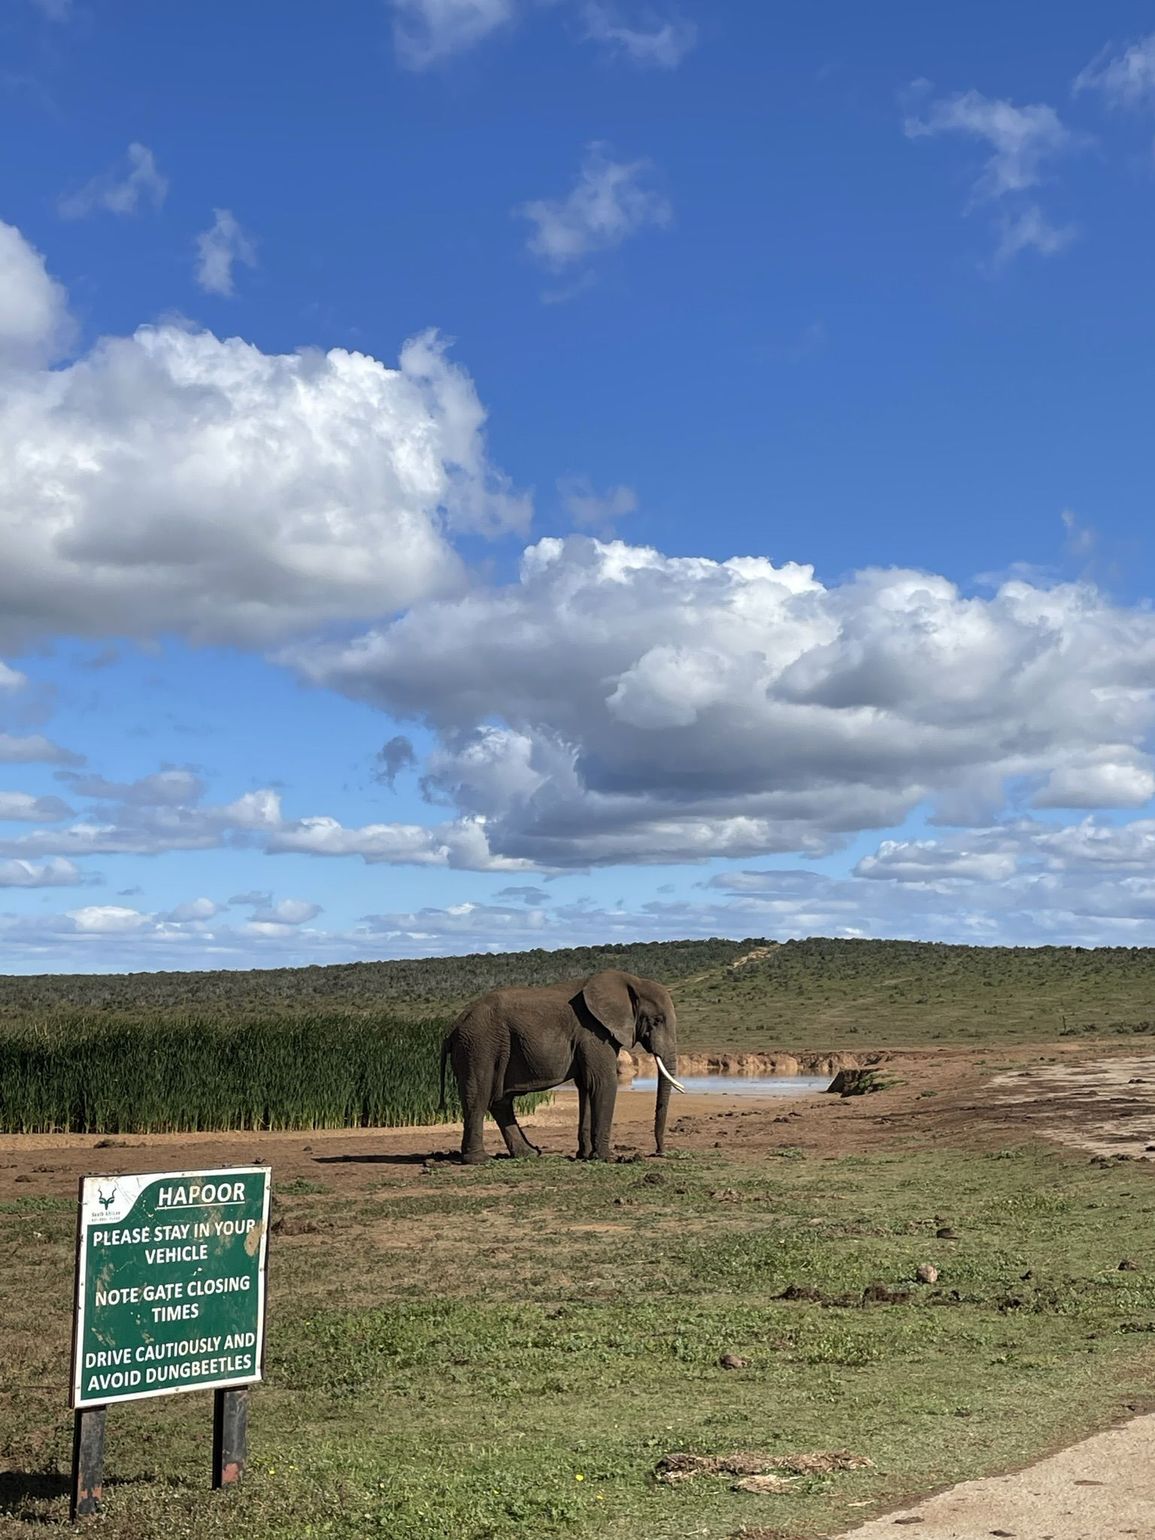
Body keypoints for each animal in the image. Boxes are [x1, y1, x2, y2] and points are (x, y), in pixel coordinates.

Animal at [439, 968, 685, 1164]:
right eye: (657, 1021)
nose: (659, 1152)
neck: (632, 981)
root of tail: (453, 1027)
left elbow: (586, 1086)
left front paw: (585, 1156)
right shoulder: (593, 1033)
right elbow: (603, 1083)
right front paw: (606, 1157)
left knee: (500, 1102)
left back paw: (530, 1154)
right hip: (479, 1046)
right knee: (478, 1097)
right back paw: (479, 1160)